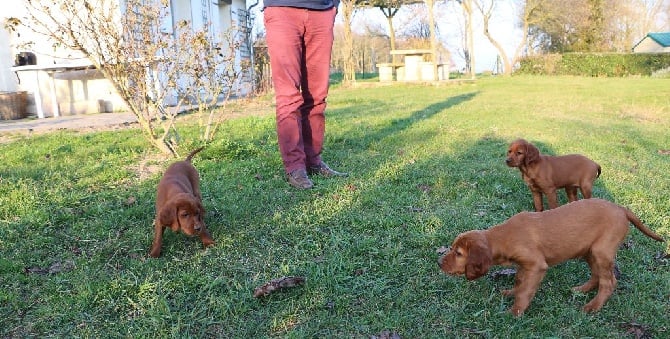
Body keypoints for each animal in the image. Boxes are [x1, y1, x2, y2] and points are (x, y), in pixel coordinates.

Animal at [438, 201, 664, 318]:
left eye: (458, 254)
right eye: (452, 248)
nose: (439, 262)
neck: (502, 236)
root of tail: (621, 208)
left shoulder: (536, 265)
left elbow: (525, 291)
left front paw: (515, 312)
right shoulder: (524, 266)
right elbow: (520, 282)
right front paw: (511, 292)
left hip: (602, 251)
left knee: (609, 282)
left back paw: (593, 306)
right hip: (589, 251)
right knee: (597, 275)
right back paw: (581, 290)